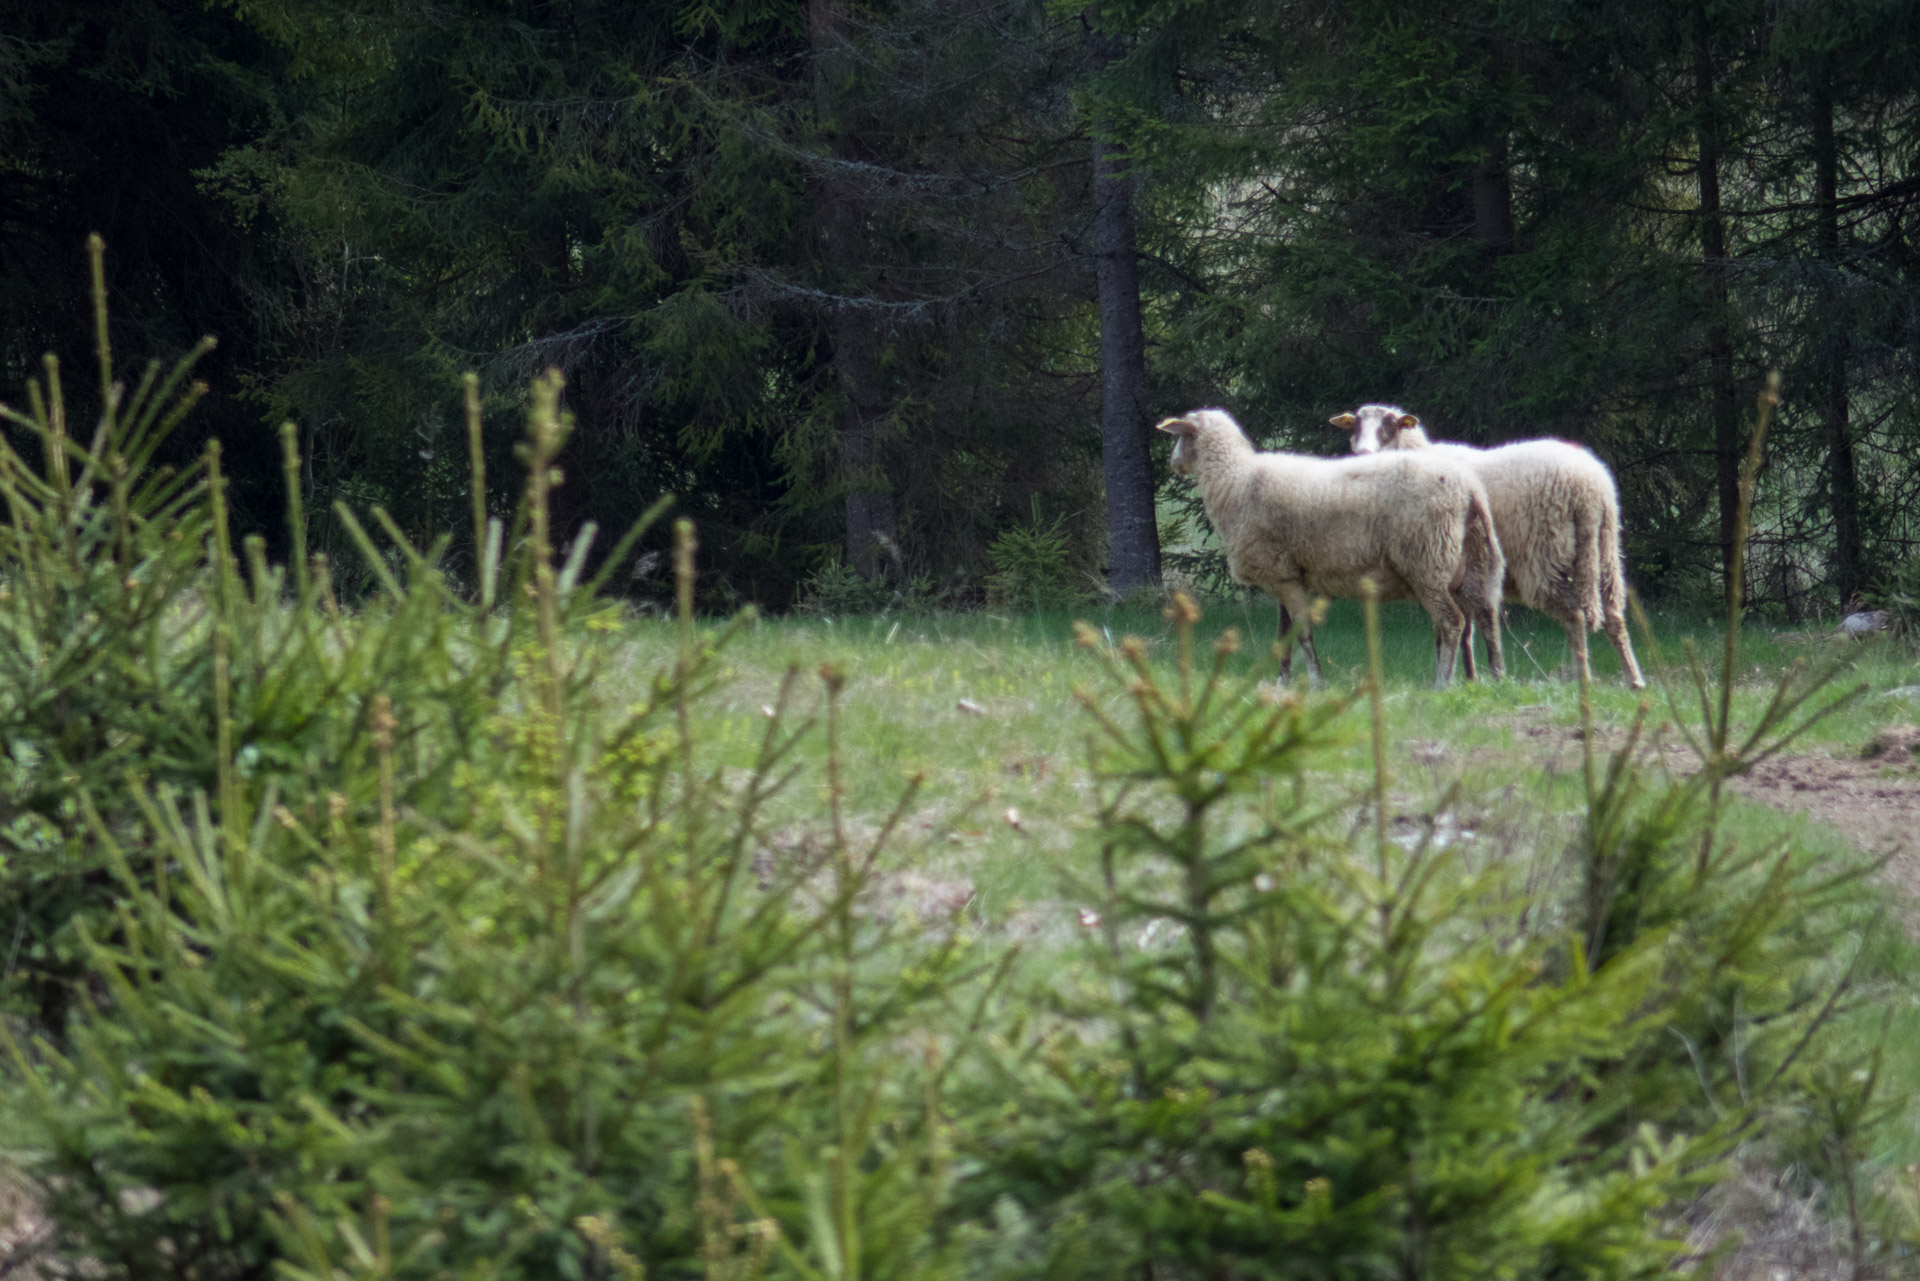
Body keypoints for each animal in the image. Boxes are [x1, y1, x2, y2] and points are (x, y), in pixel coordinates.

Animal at [1144, 410, 1505, 691]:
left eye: (1180, 436)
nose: (1173, 463)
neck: (1235, 480)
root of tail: (1469, 488)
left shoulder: (1281, 576)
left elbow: (1302, 633)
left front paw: (1317, 682)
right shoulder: (1288, 573)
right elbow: (1284, 631)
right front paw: (1284, 681)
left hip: (1427, 561)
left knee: (1452, 622)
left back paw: (1442, 683)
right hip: (1469, 563)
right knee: (1486, 616)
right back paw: (1497, 678)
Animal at [1336, 409, 1651, 691]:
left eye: (1389, 425)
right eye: (1356, 424)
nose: (1362, 453)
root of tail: (1589, 489)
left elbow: (1450, 629)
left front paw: (1453, 677)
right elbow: (1467, 631)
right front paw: (1469, 679)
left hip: (1543, 553)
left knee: (1574, 616)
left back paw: (1583, 678)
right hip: (1606, 548)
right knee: (1614, 615)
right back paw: (1633, 680)